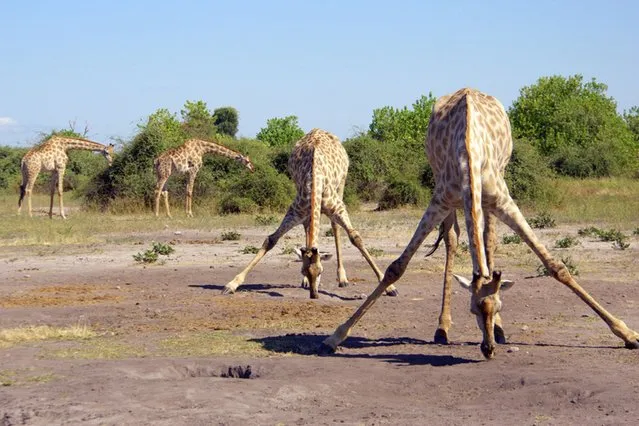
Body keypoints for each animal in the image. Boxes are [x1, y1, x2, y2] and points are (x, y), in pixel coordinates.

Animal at [222, 130, 398, 300]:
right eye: (303, 271)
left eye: (321, 271)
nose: (314, 295)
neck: (314, 181)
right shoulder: (296, 211)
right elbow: (271, 239)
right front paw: (232, 284)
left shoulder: (338, 208)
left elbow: (356, 238)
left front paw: (389, 287)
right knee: (307, 227)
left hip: (341, 184)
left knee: (335, 227)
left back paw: (342, 278)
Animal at [320, 89, 639, 360]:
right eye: (472, 308)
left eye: (498, 306)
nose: (488, 349)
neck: (470, 154)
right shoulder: (441, 199)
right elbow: (396, 267)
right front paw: (335, 336)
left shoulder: (503, 200)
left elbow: (555, 266)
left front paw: (627, 333)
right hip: (449, 194)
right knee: (452, 240)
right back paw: (442, 328)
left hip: (492, 196)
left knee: (488, 239)